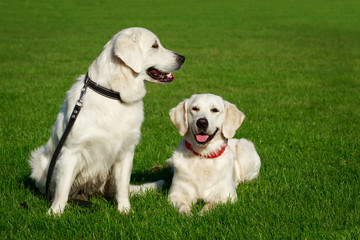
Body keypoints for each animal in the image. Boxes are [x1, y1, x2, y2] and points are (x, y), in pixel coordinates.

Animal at [28, 27, 184, 215]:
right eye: (155, 45)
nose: (182, 58)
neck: (114, 94)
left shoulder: (126, 152)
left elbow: (123, 187)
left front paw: (125, 211)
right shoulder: (71, 152)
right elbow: (62, 189)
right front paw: (55, 213)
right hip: (39, 161)